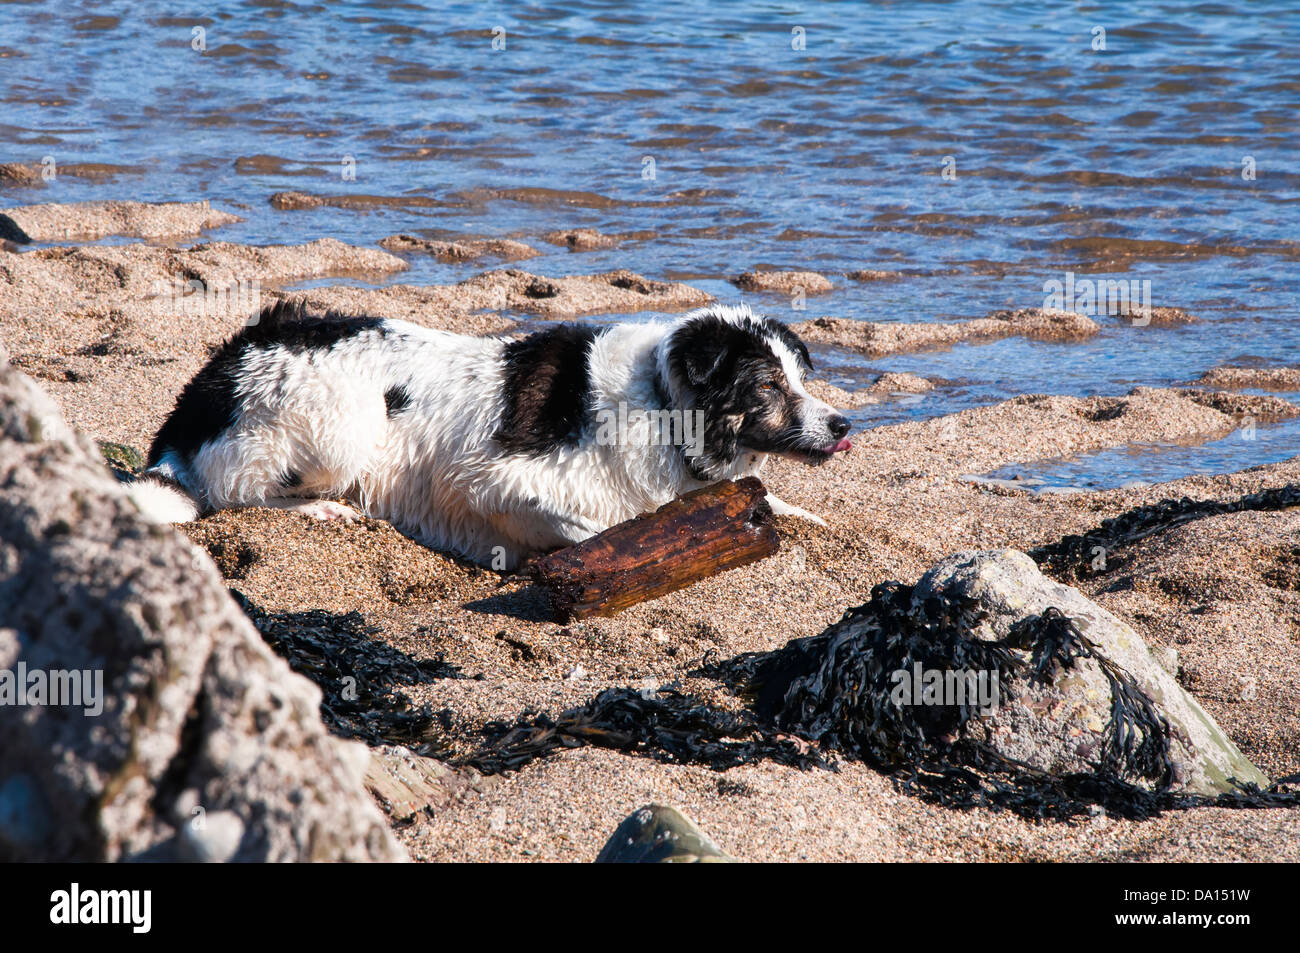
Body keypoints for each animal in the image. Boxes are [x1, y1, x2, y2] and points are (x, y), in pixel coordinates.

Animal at [129, 299, 852, 564]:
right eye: (768, 387)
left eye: (800, 376)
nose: (844, 423)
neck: (661, 401)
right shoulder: (489, 480)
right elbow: (598, 529)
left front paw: (805, 517)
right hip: (344, 424)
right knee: (235, 495)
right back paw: (320, 509)